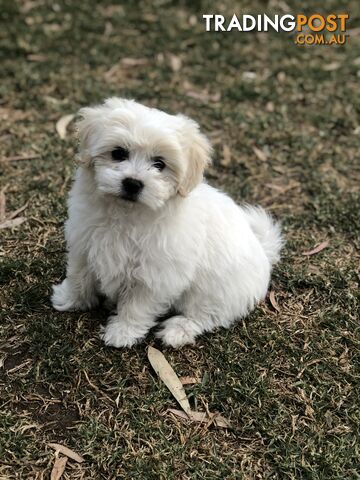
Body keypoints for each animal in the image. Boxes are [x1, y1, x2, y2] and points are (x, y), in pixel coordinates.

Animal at [51, 96, 282, 348]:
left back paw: (178, 330)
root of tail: (263, 251)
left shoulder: (157, 274)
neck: (127, 213)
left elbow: (138, 304)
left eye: (159, 164)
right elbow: (79, 275)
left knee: (206, 314)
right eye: (118, 153)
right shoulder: (84, 243)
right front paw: (70, 299)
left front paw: (123, 331)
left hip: (216, 292)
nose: (133, 183)